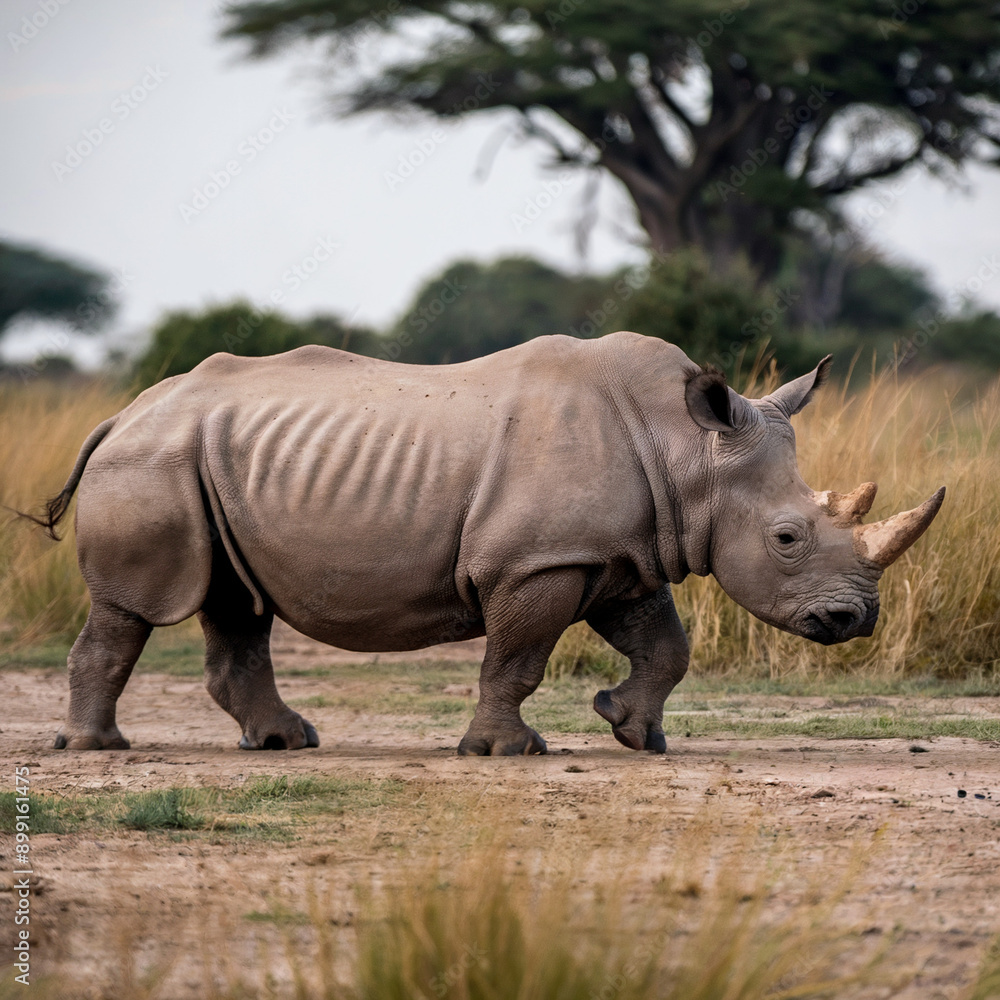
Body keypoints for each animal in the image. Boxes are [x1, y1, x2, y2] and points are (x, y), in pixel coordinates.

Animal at [29, 332, 944, 755]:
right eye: (787, 537)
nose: (855, 621)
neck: (687, 452)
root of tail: (122, 412)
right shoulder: (536, 561)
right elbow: (518, 658)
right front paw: (507, 751)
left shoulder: (619, 554)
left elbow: (665, 646)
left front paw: (633, 733)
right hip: (153, 463)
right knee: (136, 608)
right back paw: (99, 749)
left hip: (209, 462)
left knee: (238, 601)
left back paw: (287, 743)